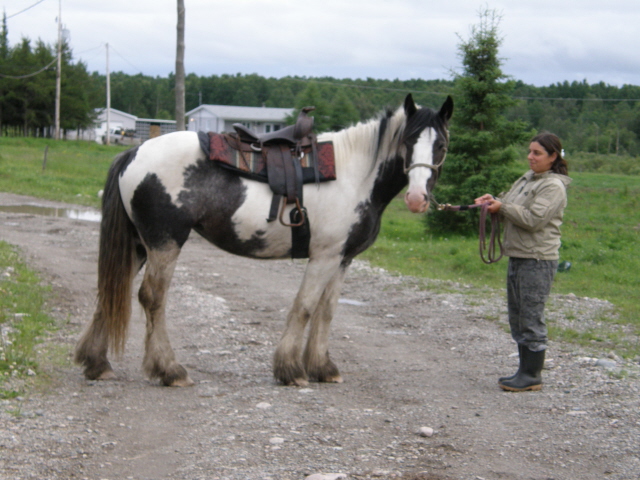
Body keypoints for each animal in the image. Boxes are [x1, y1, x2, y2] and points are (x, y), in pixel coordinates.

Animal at [75, 94, 452, 386]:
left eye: (442, 146)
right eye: (408, 141)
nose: (417, 198)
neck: (353, 175)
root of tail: (134, 153)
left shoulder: (343, 258)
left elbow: (327, 311)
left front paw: (322, 367)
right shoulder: (324, 256)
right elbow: (304, 307)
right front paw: (291, 370)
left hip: (140, 245)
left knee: (113, 288)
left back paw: (97, 363)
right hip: (165, 243)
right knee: (152, 298)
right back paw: (169, 370)